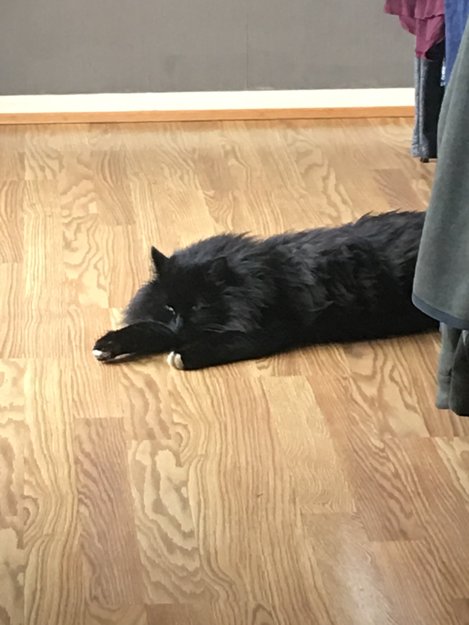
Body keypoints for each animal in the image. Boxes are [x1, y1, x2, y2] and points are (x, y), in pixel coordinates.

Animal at [92, 210, 437, 370]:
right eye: (170, 308)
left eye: (199, 307)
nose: (180, 324)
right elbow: (148, 328)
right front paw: (107, 345)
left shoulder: (266, 331)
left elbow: (223, 342)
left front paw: (182, 356)